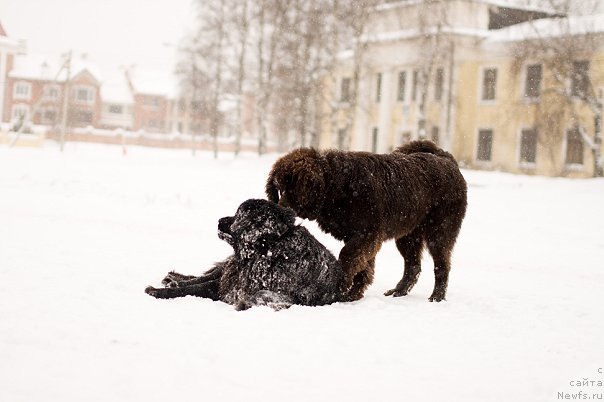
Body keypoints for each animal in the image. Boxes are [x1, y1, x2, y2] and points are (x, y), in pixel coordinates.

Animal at [145, 199, 344, 310]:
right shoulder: (233, 282)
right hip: (231, 269)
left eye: (238, 215)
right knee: (207, 275)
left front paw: (159, 292)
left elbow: (198, 288)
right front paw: (164, 289)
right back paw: (173, 279)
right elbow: (198, 285)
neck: (267, 250)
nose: (219, 220)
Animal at [266, 141, 470, 302]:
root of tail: (446, 159)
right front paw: (353, 294)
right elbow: (364, 266)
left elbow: (348, 256)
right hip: (408, 236)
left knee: (441, 265)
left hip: (440, 233)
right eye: (279, 188)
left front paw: (342, 288)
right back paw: (398, 291)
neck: (337, 186)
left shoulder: (367, 235)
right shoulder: (361, 238)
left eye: (293, 188)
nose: (280, 209)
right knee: (413, 266)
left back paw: (437, 296)